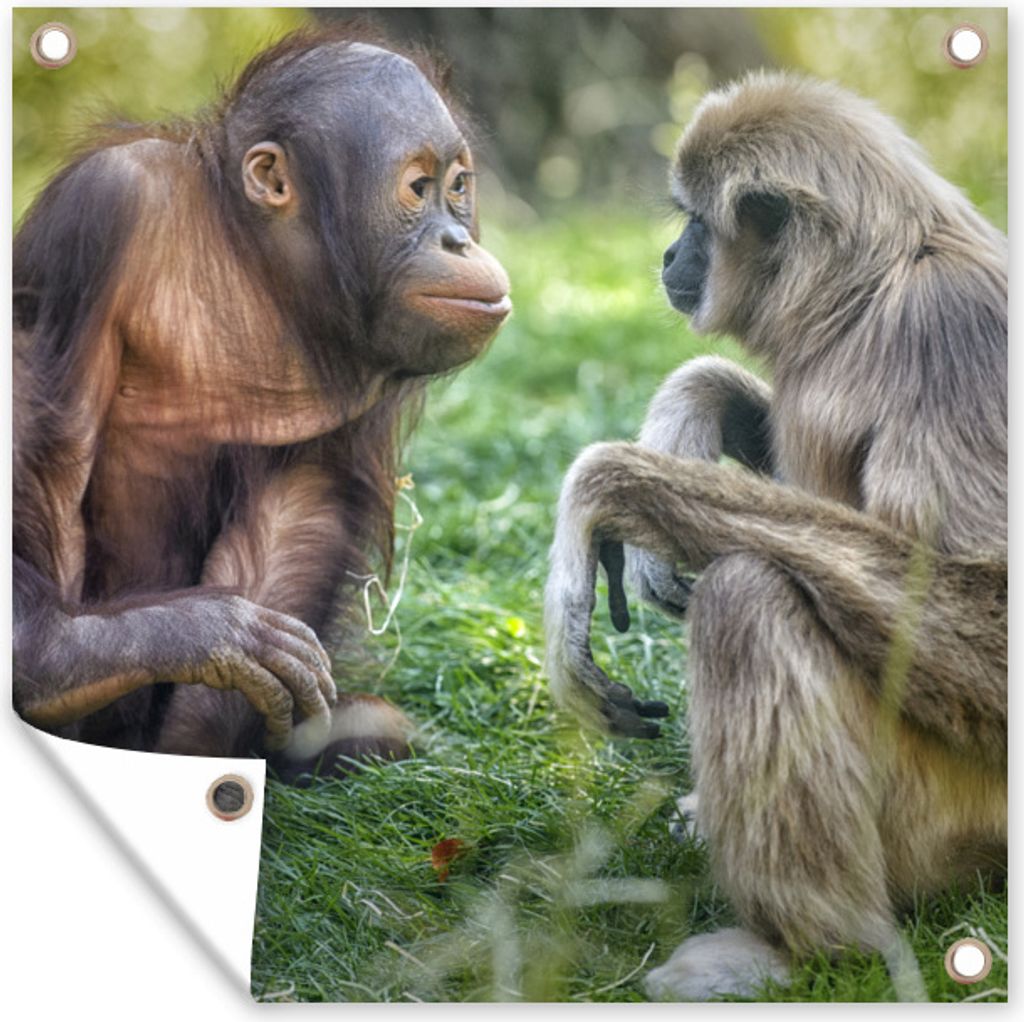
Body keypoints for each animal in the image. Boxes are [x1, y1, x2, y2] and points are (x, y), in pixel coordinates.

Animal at [12, 25, 511, 777]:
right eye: (418, 188)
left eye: (458, 187)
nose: (457, 239)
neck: (250, 259)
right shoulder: (103, 205)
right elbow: (52, 443)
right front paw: (95, 654)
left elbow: (303, 500)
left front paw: (201, 744)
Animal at [544, 72, 1006, 1000]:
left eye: (693, 220)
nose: (668, 255)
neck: (872, 295)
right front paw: (689, 409)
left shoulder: (954, 327)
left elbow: (993, 611)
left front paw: (609, 488)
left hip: (951, 805)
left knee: (747, 594)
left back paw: (812, 949)